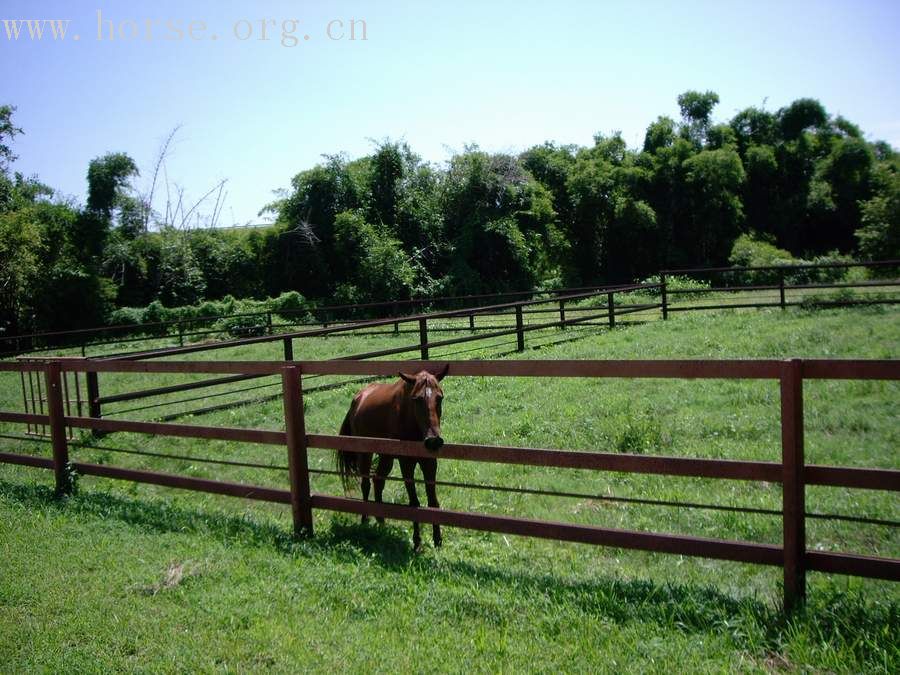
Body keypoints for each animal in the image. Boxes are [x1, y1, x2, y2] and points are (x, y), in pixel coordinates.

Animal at [334, 364, 450, 548]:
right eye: (416, 399)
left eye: (439, 397)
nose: (433, 440)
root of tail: (358, 398)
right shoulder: (406, 462)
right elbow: (414, 502)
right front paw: (417, 541)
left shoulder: (429, 461)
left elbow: (433, 501)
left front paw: (438, 540)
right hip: (365, 454)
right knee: (366, 484)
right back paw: (365, 521)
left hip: (386, 456)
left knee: (378, 481)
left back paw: (381, 520)